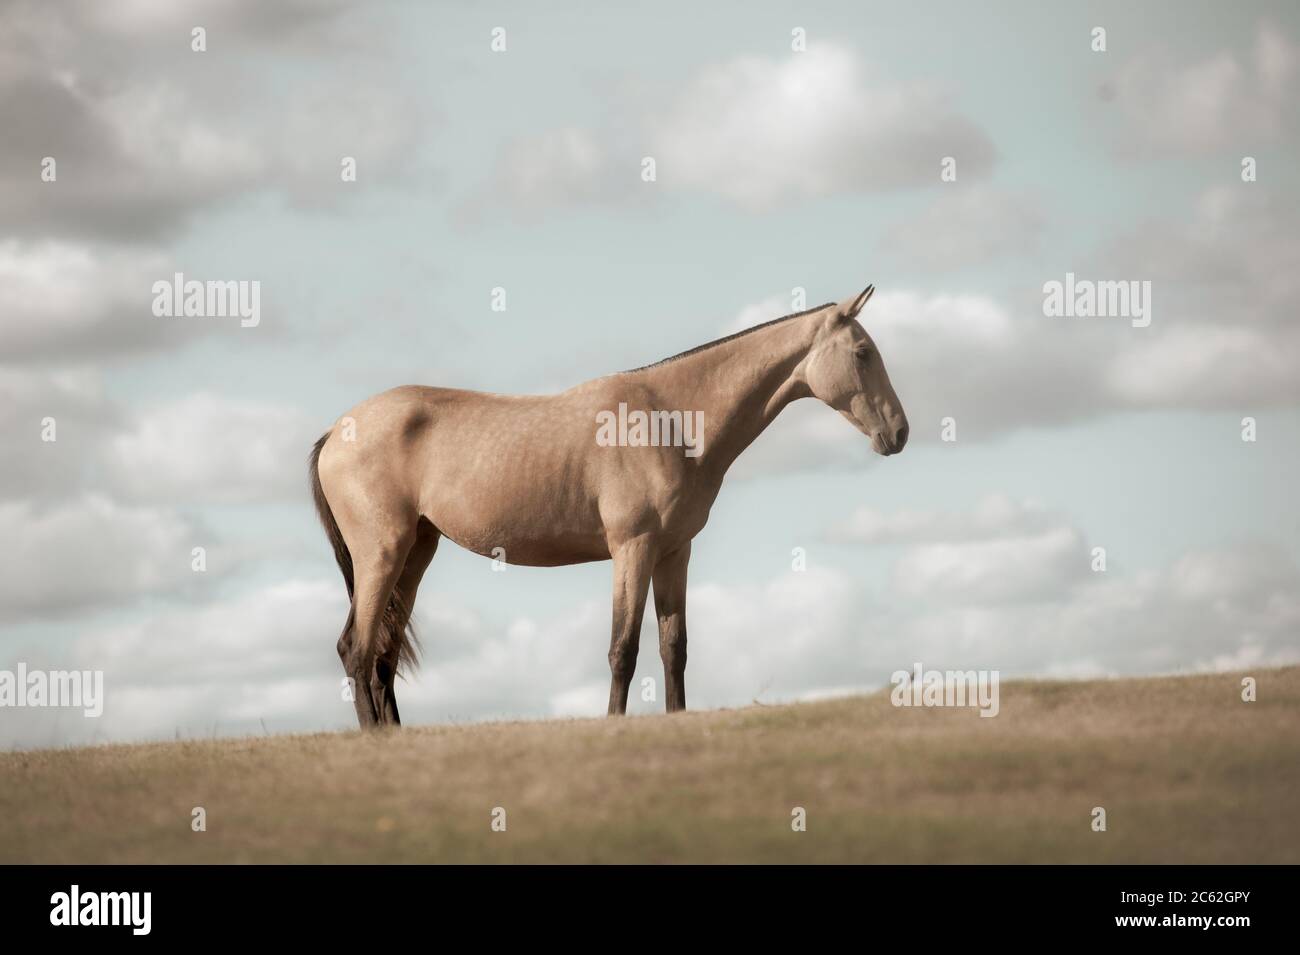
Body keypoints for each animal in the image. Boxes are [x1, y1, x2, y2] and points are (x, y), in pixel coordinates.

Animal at [309, 281, 909, 722]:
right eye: (863, 352)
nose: (899, 433)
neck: (671, 419)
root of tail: (338, 432)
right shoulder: (632, 549)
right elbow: (623, 648)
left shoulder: (674, 553)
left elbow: (674, 648)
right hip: (382, 554)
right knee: (356, 649)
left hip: (416, 553)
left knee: (383, 655)